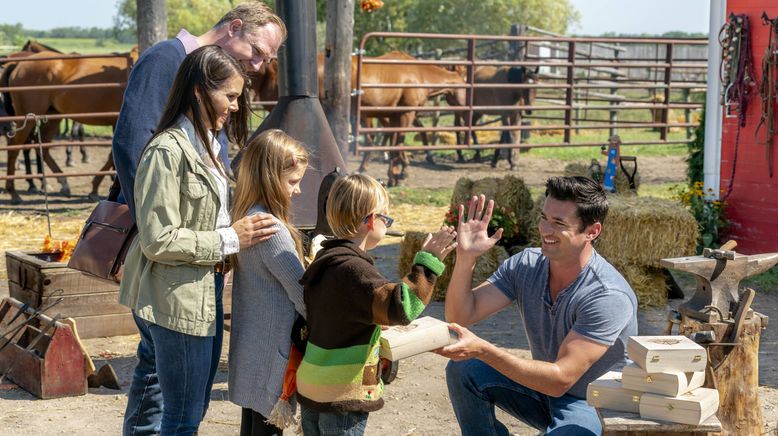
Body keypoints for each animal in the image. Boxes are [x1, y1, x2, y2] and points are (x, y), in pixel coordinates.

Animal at [1, 48, 136, 204]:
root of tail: (18, 65)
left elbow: (112, 157)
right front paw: (95, 188)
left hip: (52, 116)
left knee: (42, 148)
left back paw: (62, 182)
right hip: (28, 118)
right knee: (14, 147)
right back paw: (13, 192)